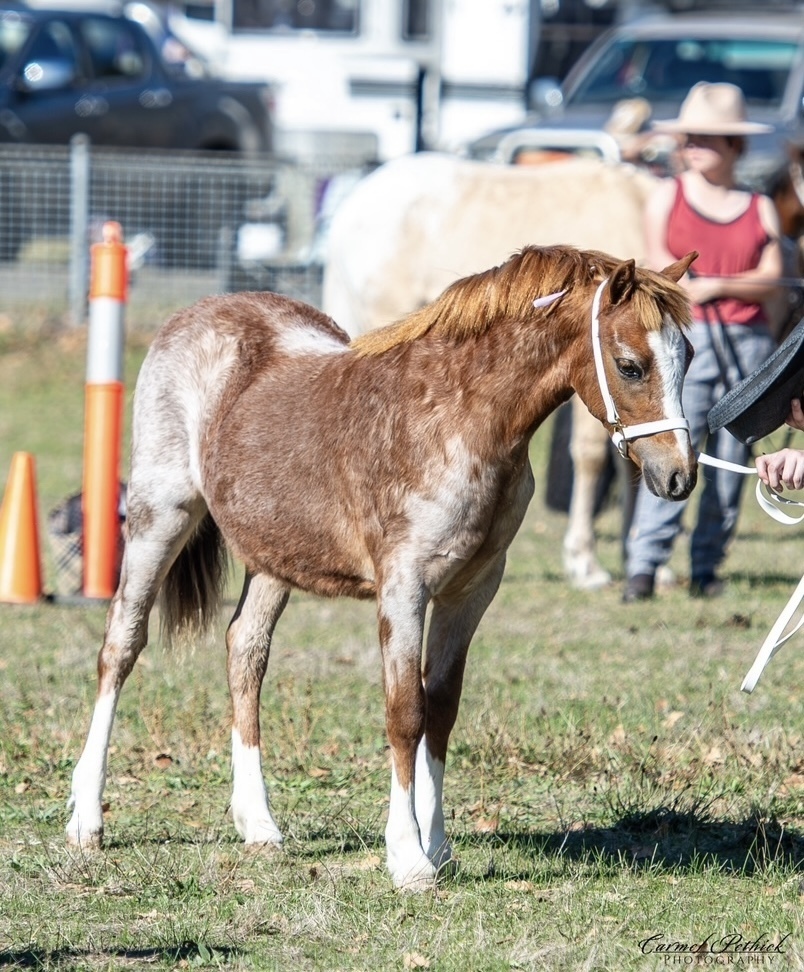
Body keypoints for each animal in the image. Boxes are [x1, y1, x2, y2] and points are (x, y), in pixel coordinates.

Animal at [66, 244, 698, 891]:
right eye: (630, 366)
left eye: (689, 357)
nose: (678, 476)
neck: (457, 416)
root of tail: (195, 315)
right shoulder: (404, 589)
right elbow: (405, 713)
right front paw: (408, 857)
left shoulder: (471, 591)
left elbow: (441, 709)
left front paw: (439, 846)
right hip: (160, 517)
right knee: (120, 647)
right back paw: (87, 820)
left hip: (272, 556)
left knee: (245, 650)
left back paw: (258, 825)